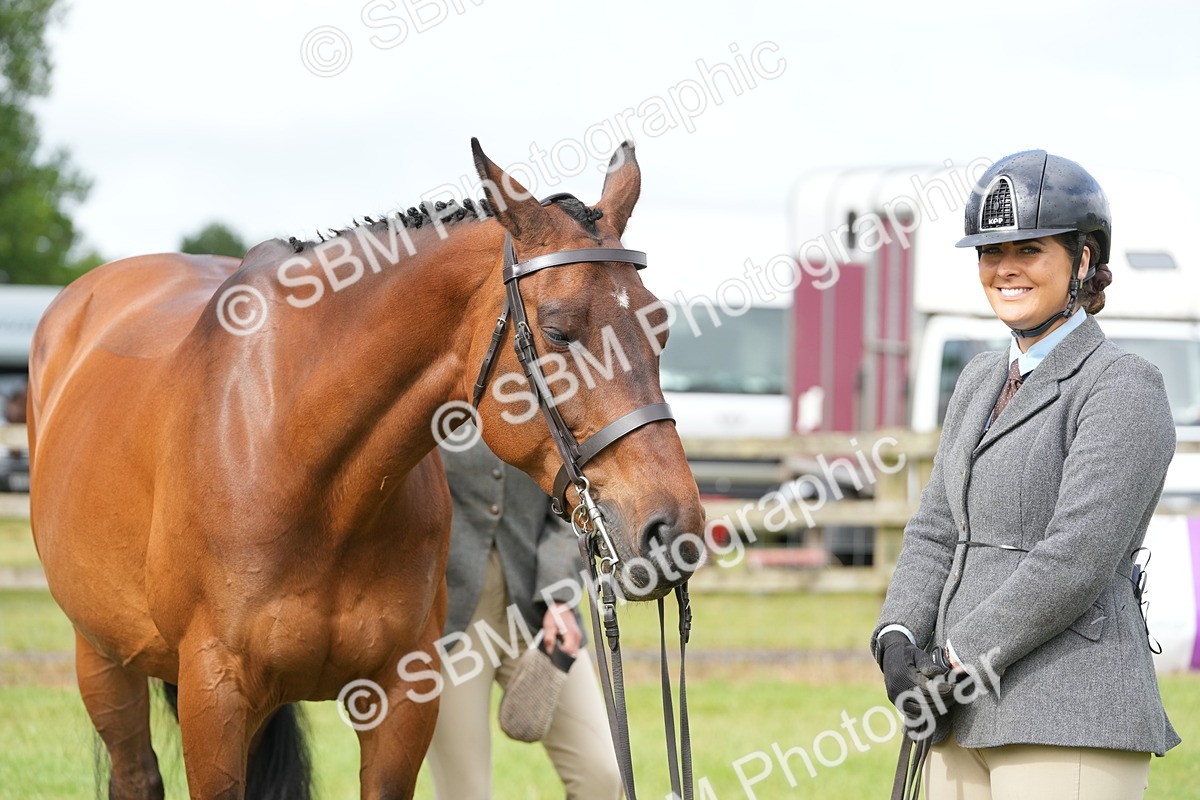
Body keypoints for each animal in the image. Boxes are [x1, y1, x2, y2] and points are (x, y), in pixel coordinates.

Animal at [27, 138, 706, 799]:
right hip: (102, 658)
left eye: (661, 328)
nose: (673, 531)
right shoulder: (214, 695)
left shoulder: (402, 701)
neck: (310, 474)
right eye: (559, 331)